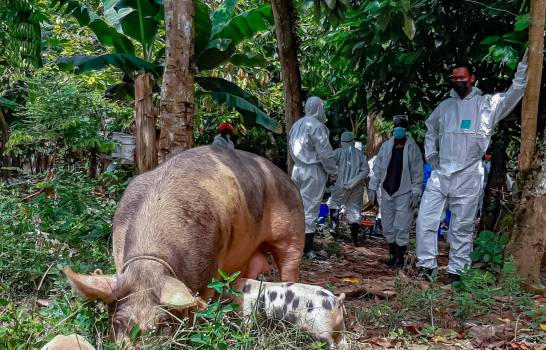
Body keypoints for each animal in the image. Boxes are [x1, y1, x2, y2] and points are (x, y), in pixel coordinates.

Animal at [63, 146, 304, 342]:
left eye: (162, 324)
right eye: (118, 322)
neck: (150, 260)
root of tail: (284, 175)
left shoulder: (209, 267)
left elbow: (201, 301)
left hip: (293, 226)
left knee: (289, 262)